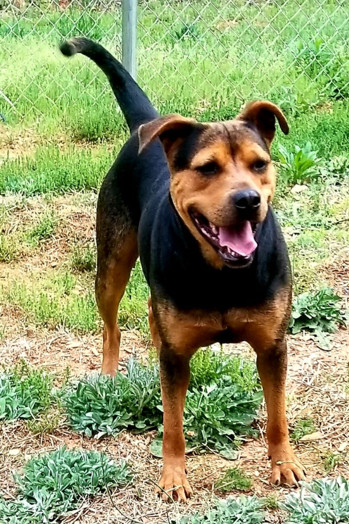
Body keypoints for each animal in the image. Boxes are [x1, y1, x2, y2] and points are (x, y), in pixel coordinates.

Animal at [60, 37, 304, 504]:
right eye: (207, 168)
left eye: (259, 164)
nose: (248, 199)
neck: (223, 271)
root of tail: (148, 125)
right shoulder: (174, 361)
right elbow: (172, 423)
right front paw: (173, 477)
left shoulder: (273, 348)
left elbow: (278, 413)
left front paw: (284, 464)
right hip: (111, 266)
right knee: (112, 325)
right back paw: (110, 374)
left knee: (152, 311)